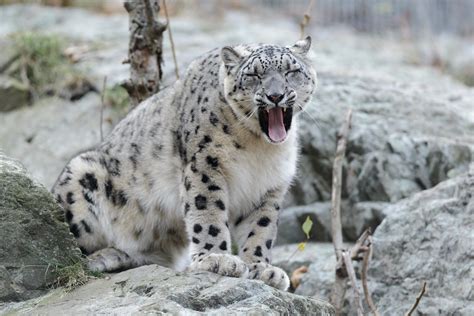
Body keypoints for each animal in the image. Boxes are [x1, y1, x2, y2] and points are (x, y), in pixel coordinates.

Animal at [51, 35, 316, 290]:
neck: (259, 148)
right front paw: (216, 259)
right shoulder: (205, 165)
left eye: (291, 71)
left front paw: (261, 268)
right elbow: (208, 213)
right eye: (254, 75)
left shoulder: (268, 186)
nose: (275, 96)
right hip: (81, 178)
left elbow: (261, 227)